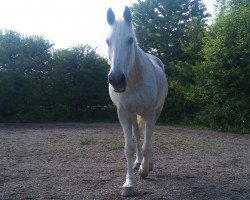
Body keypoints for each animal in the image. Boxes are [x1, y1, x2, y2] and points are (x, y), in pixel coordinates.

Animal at [106, 6, 168, 197]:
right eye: (107, 41)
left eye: (130, 40)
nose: (117, 79)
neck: (134, 78)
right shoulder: (123, 113)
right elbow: (130, 147)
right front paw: (129, 183)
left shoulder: (149, 112)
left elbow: (148, 144)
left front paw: (144, 171)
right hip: (134, 115)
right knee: (138, 135)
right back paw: (138, 162)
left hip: (156, 111)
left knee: (149, 135)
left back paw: (148, 164)